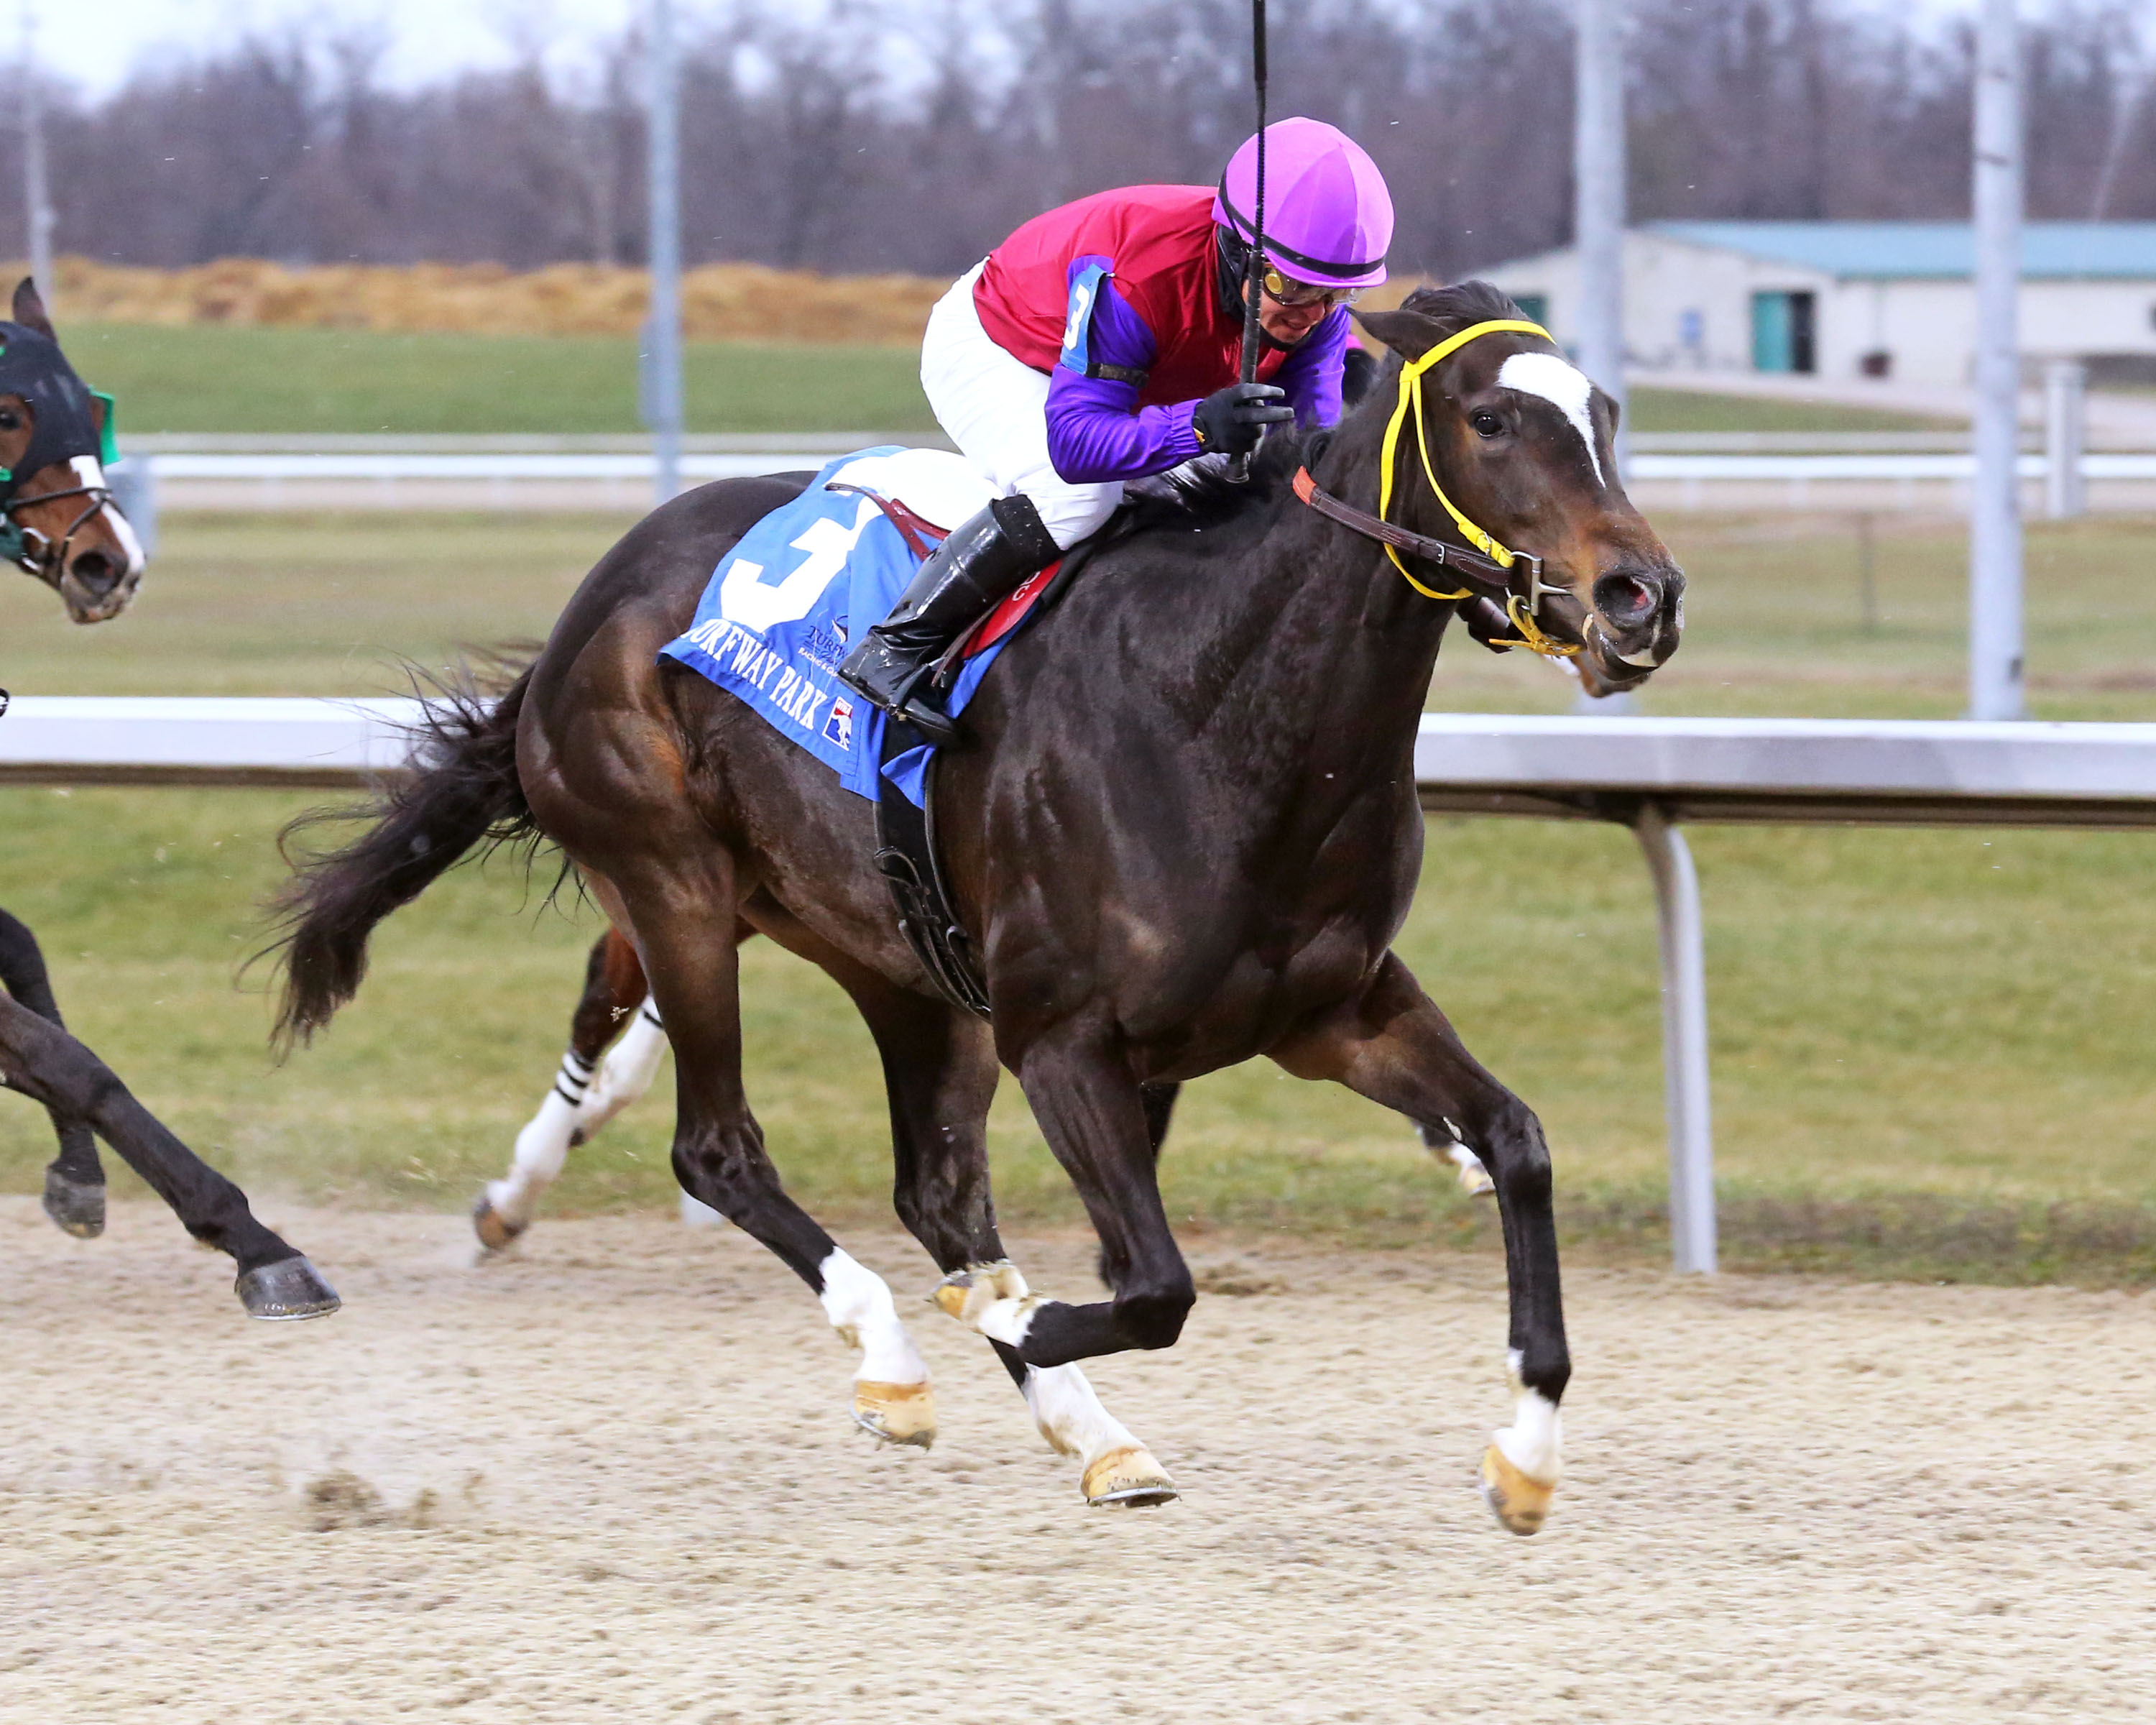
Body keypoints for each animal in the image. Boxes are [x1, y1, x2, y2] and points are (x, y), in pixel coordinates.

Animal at [0, 279, 339, 1319]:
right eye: (10, 410)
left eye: (89, 406)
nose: (109, 564)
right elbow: (65, 1060)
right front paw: (258, 1244)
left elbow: (27, 966)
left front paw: (79, 1178)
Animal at [272, 281, 1682, 1526]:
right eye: (1489, 419)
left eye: (1608, 414)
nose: (1642, 598)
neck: (1221, 716)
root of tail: (591, 604)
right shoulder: (1063, 1041)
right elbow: (1152, 1286)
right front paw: (1016, 1321)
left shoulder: (1335, 1013)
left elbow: (1517, 1143)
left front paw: (1526, 1460)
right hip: (677, 885)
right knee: (721, 1149)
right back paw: (898, 1358)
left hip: (897, 959)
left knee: (936, 1195)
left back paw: (1090, 1433)